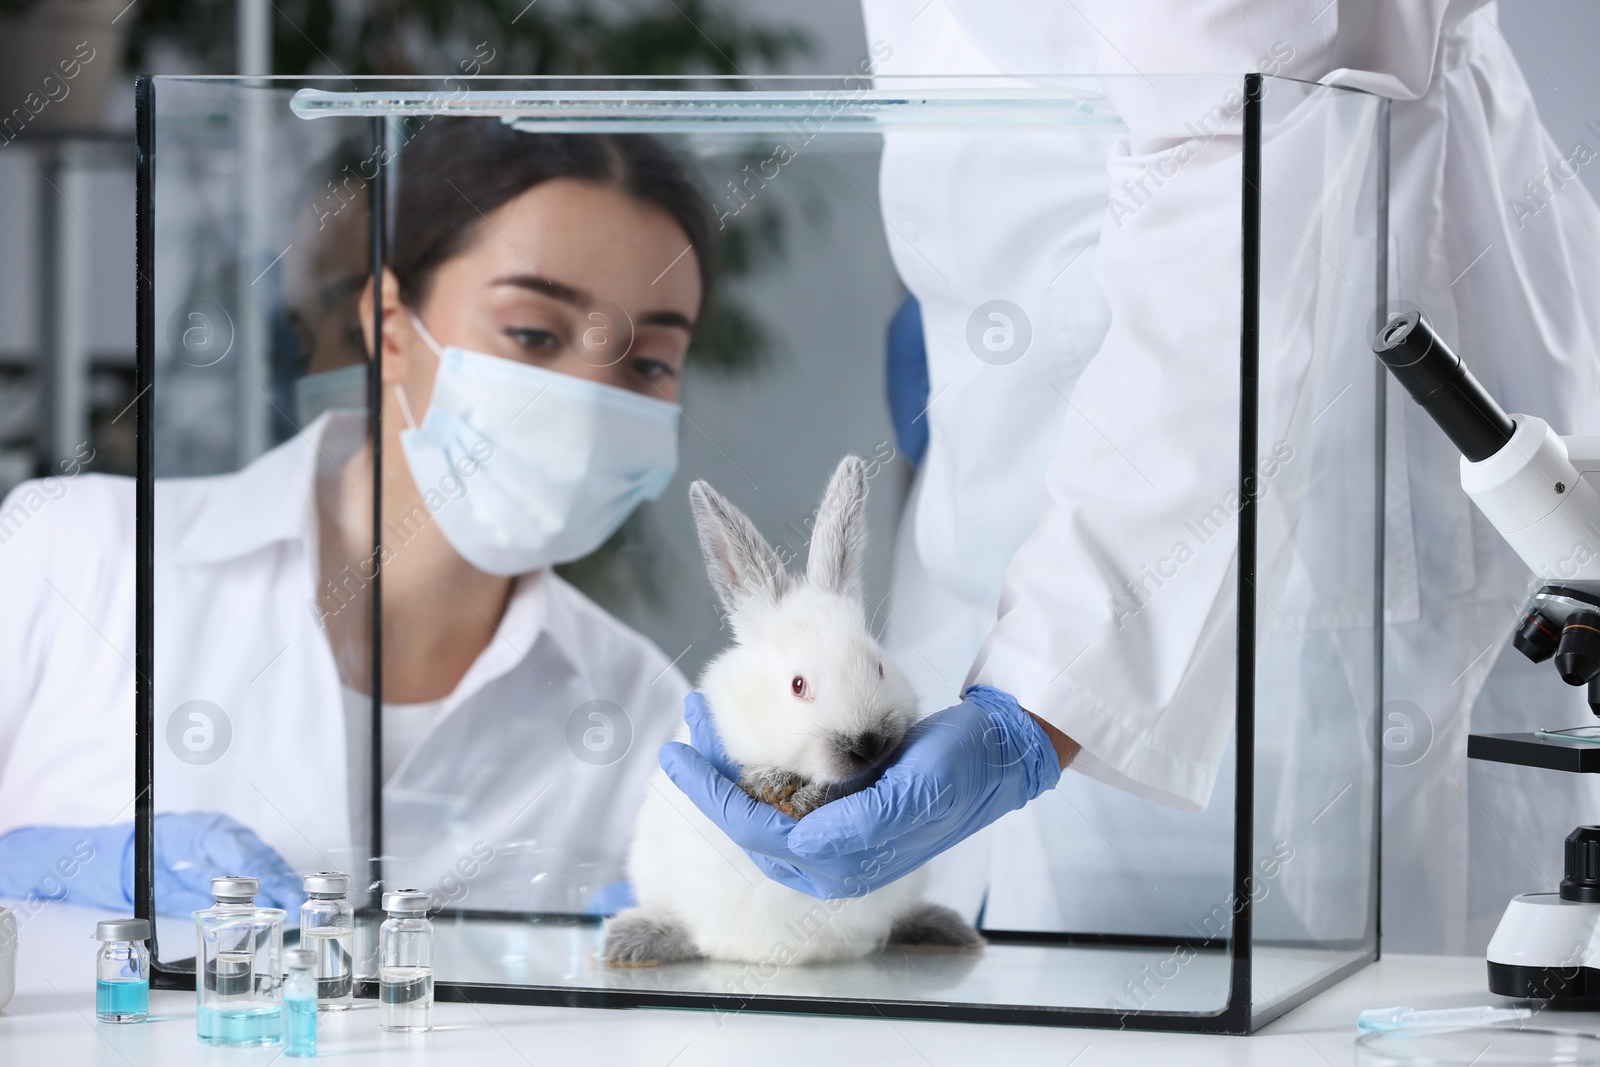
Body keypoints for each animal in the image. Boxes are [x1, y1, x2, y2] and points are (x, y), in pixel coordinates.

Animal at [604, 454, 979, 966]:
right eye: (798, 686)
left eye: (879, 666)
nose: (869, 746)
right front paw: (777, 787)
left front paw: (808, 798)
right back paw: (627, 941)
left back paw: (948, 930)